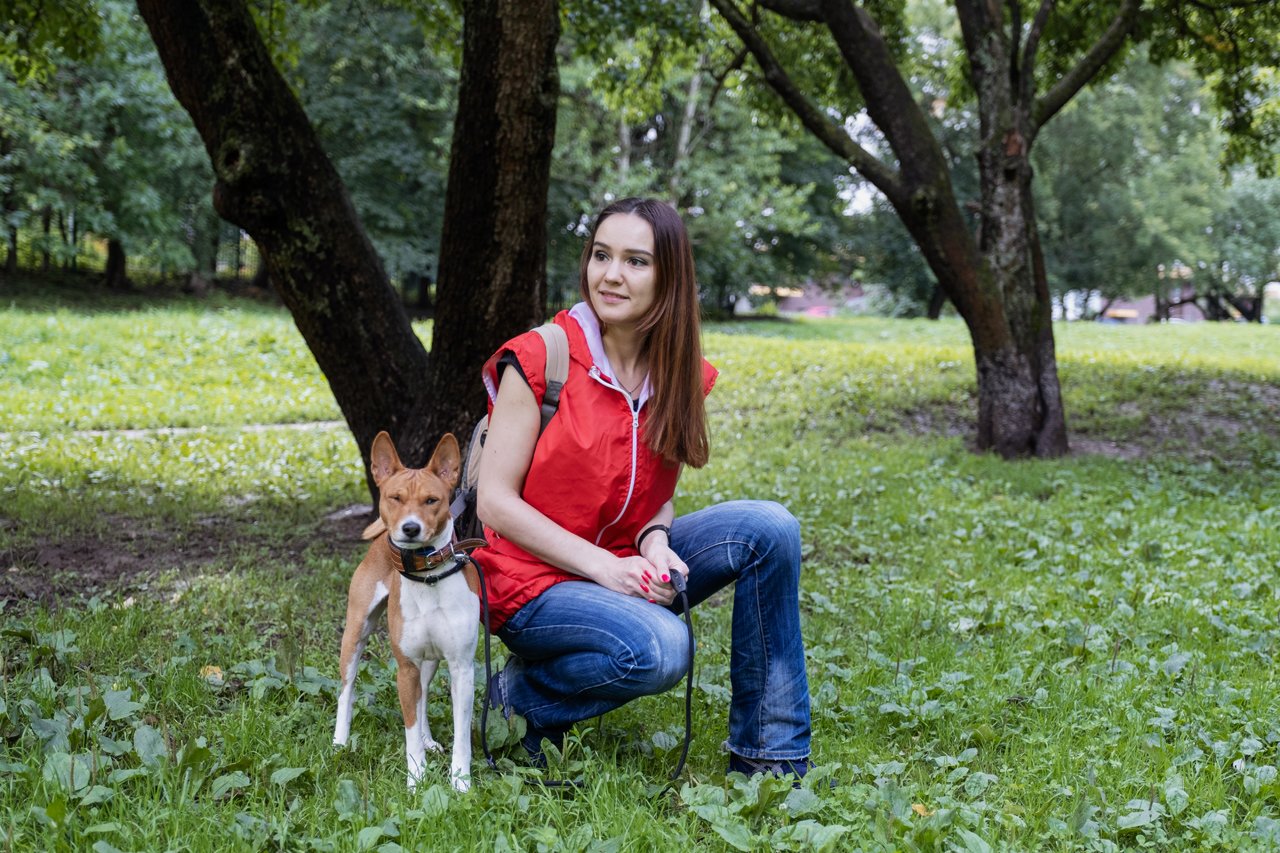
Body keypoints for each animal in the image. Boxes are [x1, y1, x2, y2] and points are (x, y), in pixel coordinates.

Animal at [335, 432, 481, 788]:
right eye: (395, 498)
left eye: (431, 500)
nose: (410, 528)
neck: (427, 578)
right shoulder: (406, 668)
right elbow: (409, 729)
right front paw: (416, 780)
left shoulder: (461, 668)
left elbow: (460, 735)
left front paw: (460, 782)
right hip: (355, 634)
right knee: (346, 690)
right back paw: (339, 743)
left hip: (429, 661)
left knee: (424, 695)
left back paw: (430, 741)